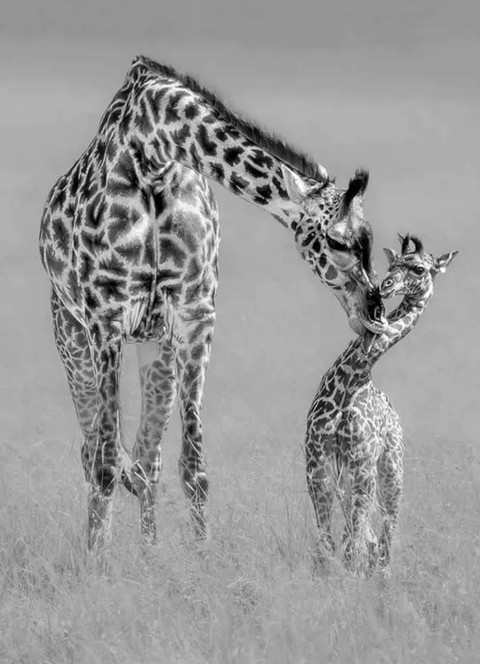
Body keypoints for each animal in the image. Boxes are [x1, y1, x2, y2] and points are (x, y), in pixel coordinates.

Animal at [39, 55, 387, 548]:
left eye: (370, 240)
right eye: (338, 241)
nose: (373, 310)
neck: (155, 155)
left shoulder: (195, 314)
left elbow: (194, 468)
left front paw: (201, 558)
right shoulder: (105, 318)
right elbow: (106, 463)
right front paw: (97, 560)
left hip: (155, 347)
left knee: (147, 459)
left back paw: (149, 553)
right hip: (71, 334)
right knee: (96, 454)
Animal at [305, 235, 457, 574]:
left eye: (419, 268)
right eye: (392, 264)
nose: (383, 286)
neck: (352, 380)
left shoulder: (362, 465)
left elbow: (352, 547)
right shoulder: (316, 462)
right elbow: (326, 547)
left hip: (390, 471)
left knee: (385, 531)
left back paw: (382, 575)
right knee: (366, 538)